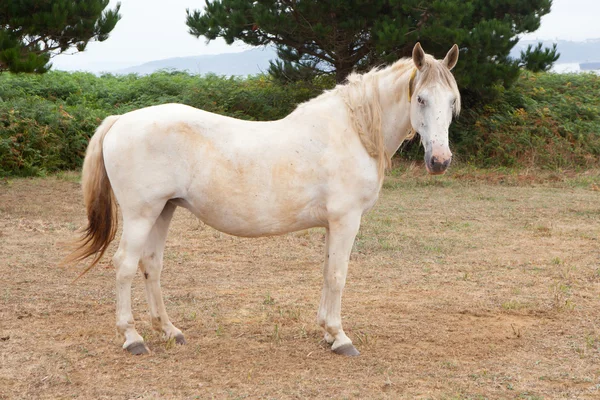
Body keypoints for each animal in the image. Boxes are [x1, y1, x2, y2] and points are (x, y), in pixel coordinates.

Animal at [64, 43, 460, 356]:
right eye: (420, 98)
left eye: (452, 101)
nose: (440, 161)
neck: (352, 131)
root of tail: (120, 121)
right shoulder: (346, 220)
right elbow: (337, 275)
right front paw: (340, 337)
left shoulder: (332, 224)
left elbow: (326, 272)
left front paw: (325, 331)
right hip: (140, 215)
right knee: (125, 266)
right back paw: (132, 338)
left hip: (163, 211)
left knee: (152, 266)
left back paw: (170, 331)